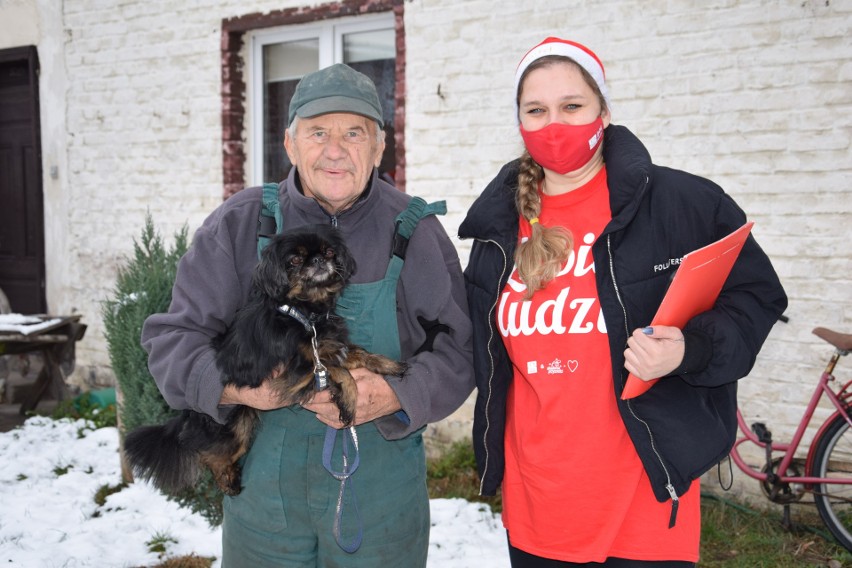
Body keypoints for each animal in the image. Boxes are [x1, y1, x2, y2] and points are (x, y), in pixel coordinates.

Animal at [123, 224, 406, 494]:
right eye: (295, 260)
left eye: (328, 252)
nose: (317, 260)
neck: (305, 313)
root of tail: (187, 414)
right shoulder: (296, 370)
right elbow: (340, 371)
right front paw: (348, 400)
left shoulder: (330, 345)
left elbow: (357, 354)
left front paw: (389, 365)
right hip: (238, 426)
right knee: (209, 456)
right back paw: (228, 481)